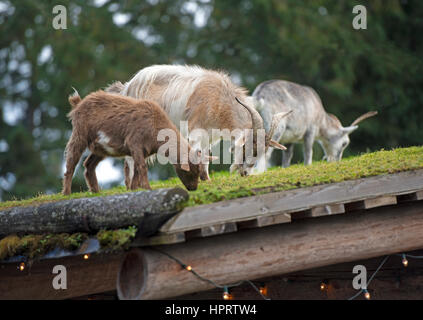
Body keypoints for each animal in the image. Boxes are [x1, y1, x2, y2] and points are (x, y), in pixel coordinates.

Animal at [62, 89, 210, 195]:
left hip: (100, 147)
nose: (193, 188)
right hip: (79, 133)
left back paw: (96, 191)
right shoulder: (135, 143)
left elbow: (137, 170)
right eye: (190, 171)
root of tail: (78, 103)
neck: (155, 124)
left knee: (89, 165)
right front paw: (147, 188)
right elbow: (142, 167)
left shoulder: (142, 150)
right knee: (71, 160)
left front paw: (134, 189)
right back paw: (67, 193)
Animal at [104, 65, 288, 180]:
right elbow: (197, 153)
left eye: (261, 152)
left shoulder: (210, 136)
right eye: (245, 148)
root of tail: (126, 88)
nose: (245, 172)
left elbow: (206, 156)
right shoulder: (195, 130)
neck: (219, 98)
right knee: (130, 160)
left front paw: (207, 180)